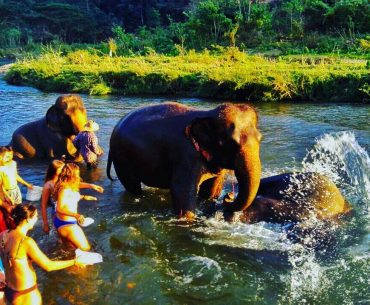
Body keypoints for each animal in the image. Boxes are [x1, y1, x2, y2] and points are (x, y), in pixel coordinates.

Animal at [107, 102, 264, 218]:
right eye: (232, 143)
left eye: (260, 138)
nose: (229, 196)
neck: (207, 114)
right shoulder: (186, 155)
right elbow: (181, 191)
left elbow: (211, 189)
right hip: (122, 159)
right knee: (132, 186)